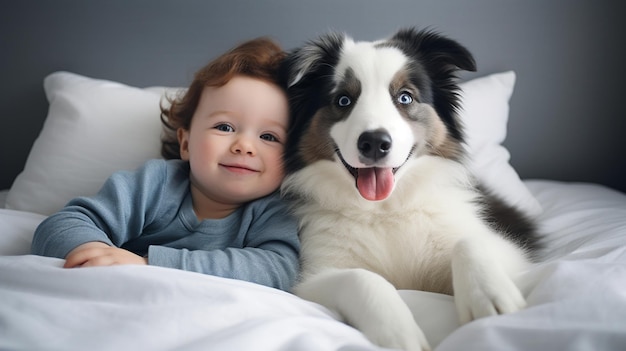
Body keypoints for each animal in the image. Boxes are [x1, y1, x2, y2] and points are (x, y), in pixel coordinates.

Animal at [278, 28, 536, 351]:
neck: (385, 210)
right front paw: (399, 332)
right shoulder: (312, 279)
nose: (375, 142)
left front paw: (491, 297)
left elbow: (470, 242)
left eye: (405, 97)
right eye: (343, 100)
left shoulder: (511, 253)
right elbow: (361, 278)